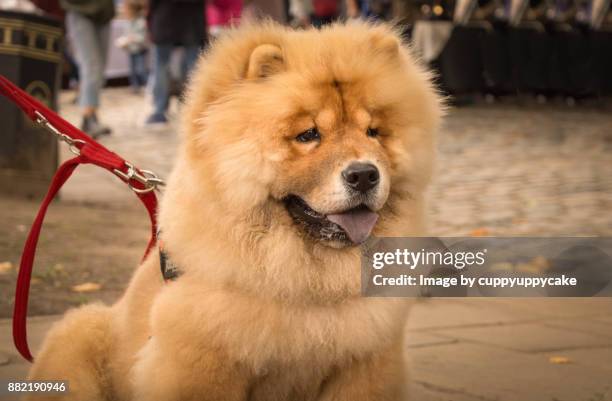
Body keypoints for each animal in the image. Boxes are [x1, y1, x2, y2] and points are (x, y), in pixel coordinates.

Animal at [26, 19, 442, 400]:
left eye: (373, 132)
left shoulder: (367, 362)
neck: (304, 279)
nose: (364, 174)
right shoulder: (201, 363)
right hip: (80, 335)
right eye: (308, 135)